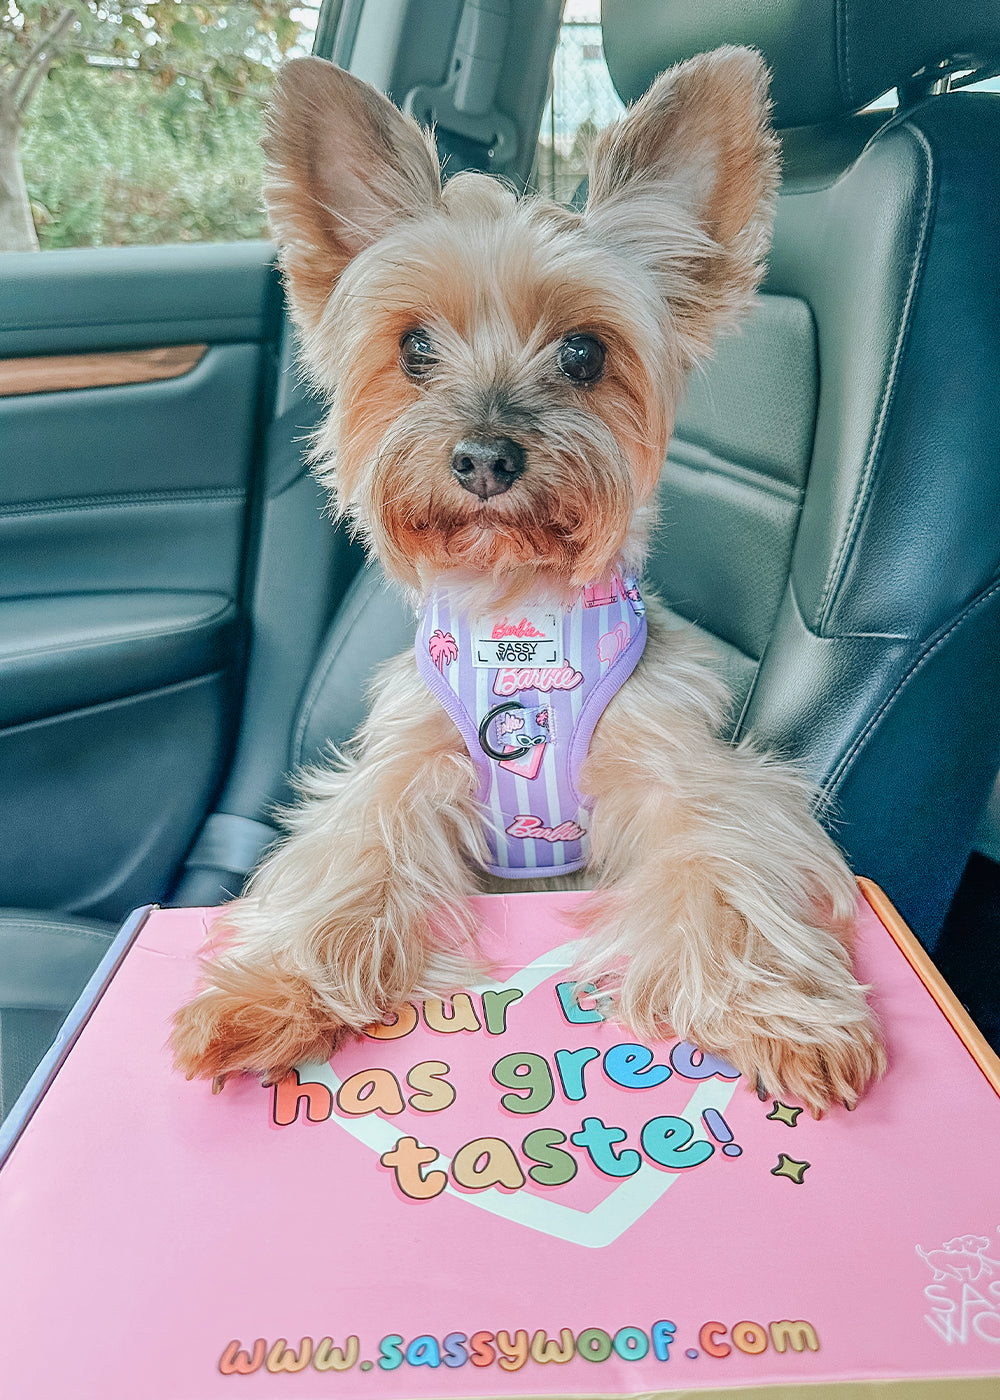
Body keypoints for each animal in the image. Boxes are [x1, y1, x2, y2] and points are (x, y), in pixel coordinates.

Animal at [167, 40, 885, 1114]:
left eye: (584, 351)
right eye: (415, 346)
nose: (483, 458)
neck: (520, 613)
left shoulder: (683, 774)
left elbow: (728, 868)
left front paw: (784, 1015)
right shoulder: (401, 773)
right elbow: (346, 858)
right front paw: (268, 990)